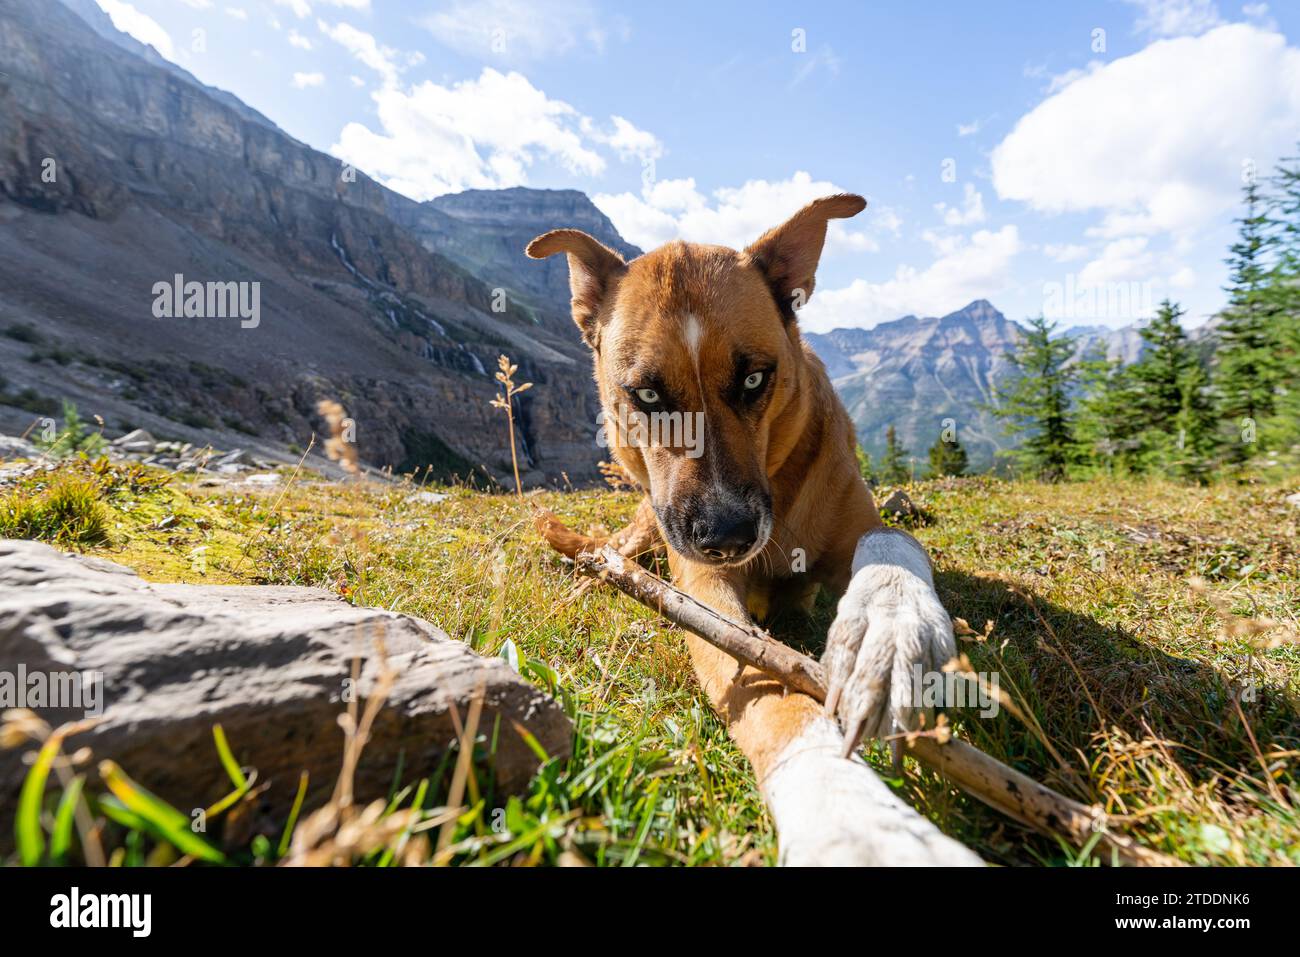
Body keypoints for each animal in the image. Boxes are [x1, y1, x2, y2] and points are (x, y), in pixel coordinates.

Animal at [527, 195, 977, 868]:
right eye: (647, 395)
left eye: (754, 379)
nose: (727, 536)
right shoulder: (704, 589)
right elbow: (774, 695)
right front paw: (855, 820)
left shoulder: (859, 522)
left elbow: (891, 547)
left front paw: (892, 632)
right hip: (647, 527)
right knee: (610, 554)